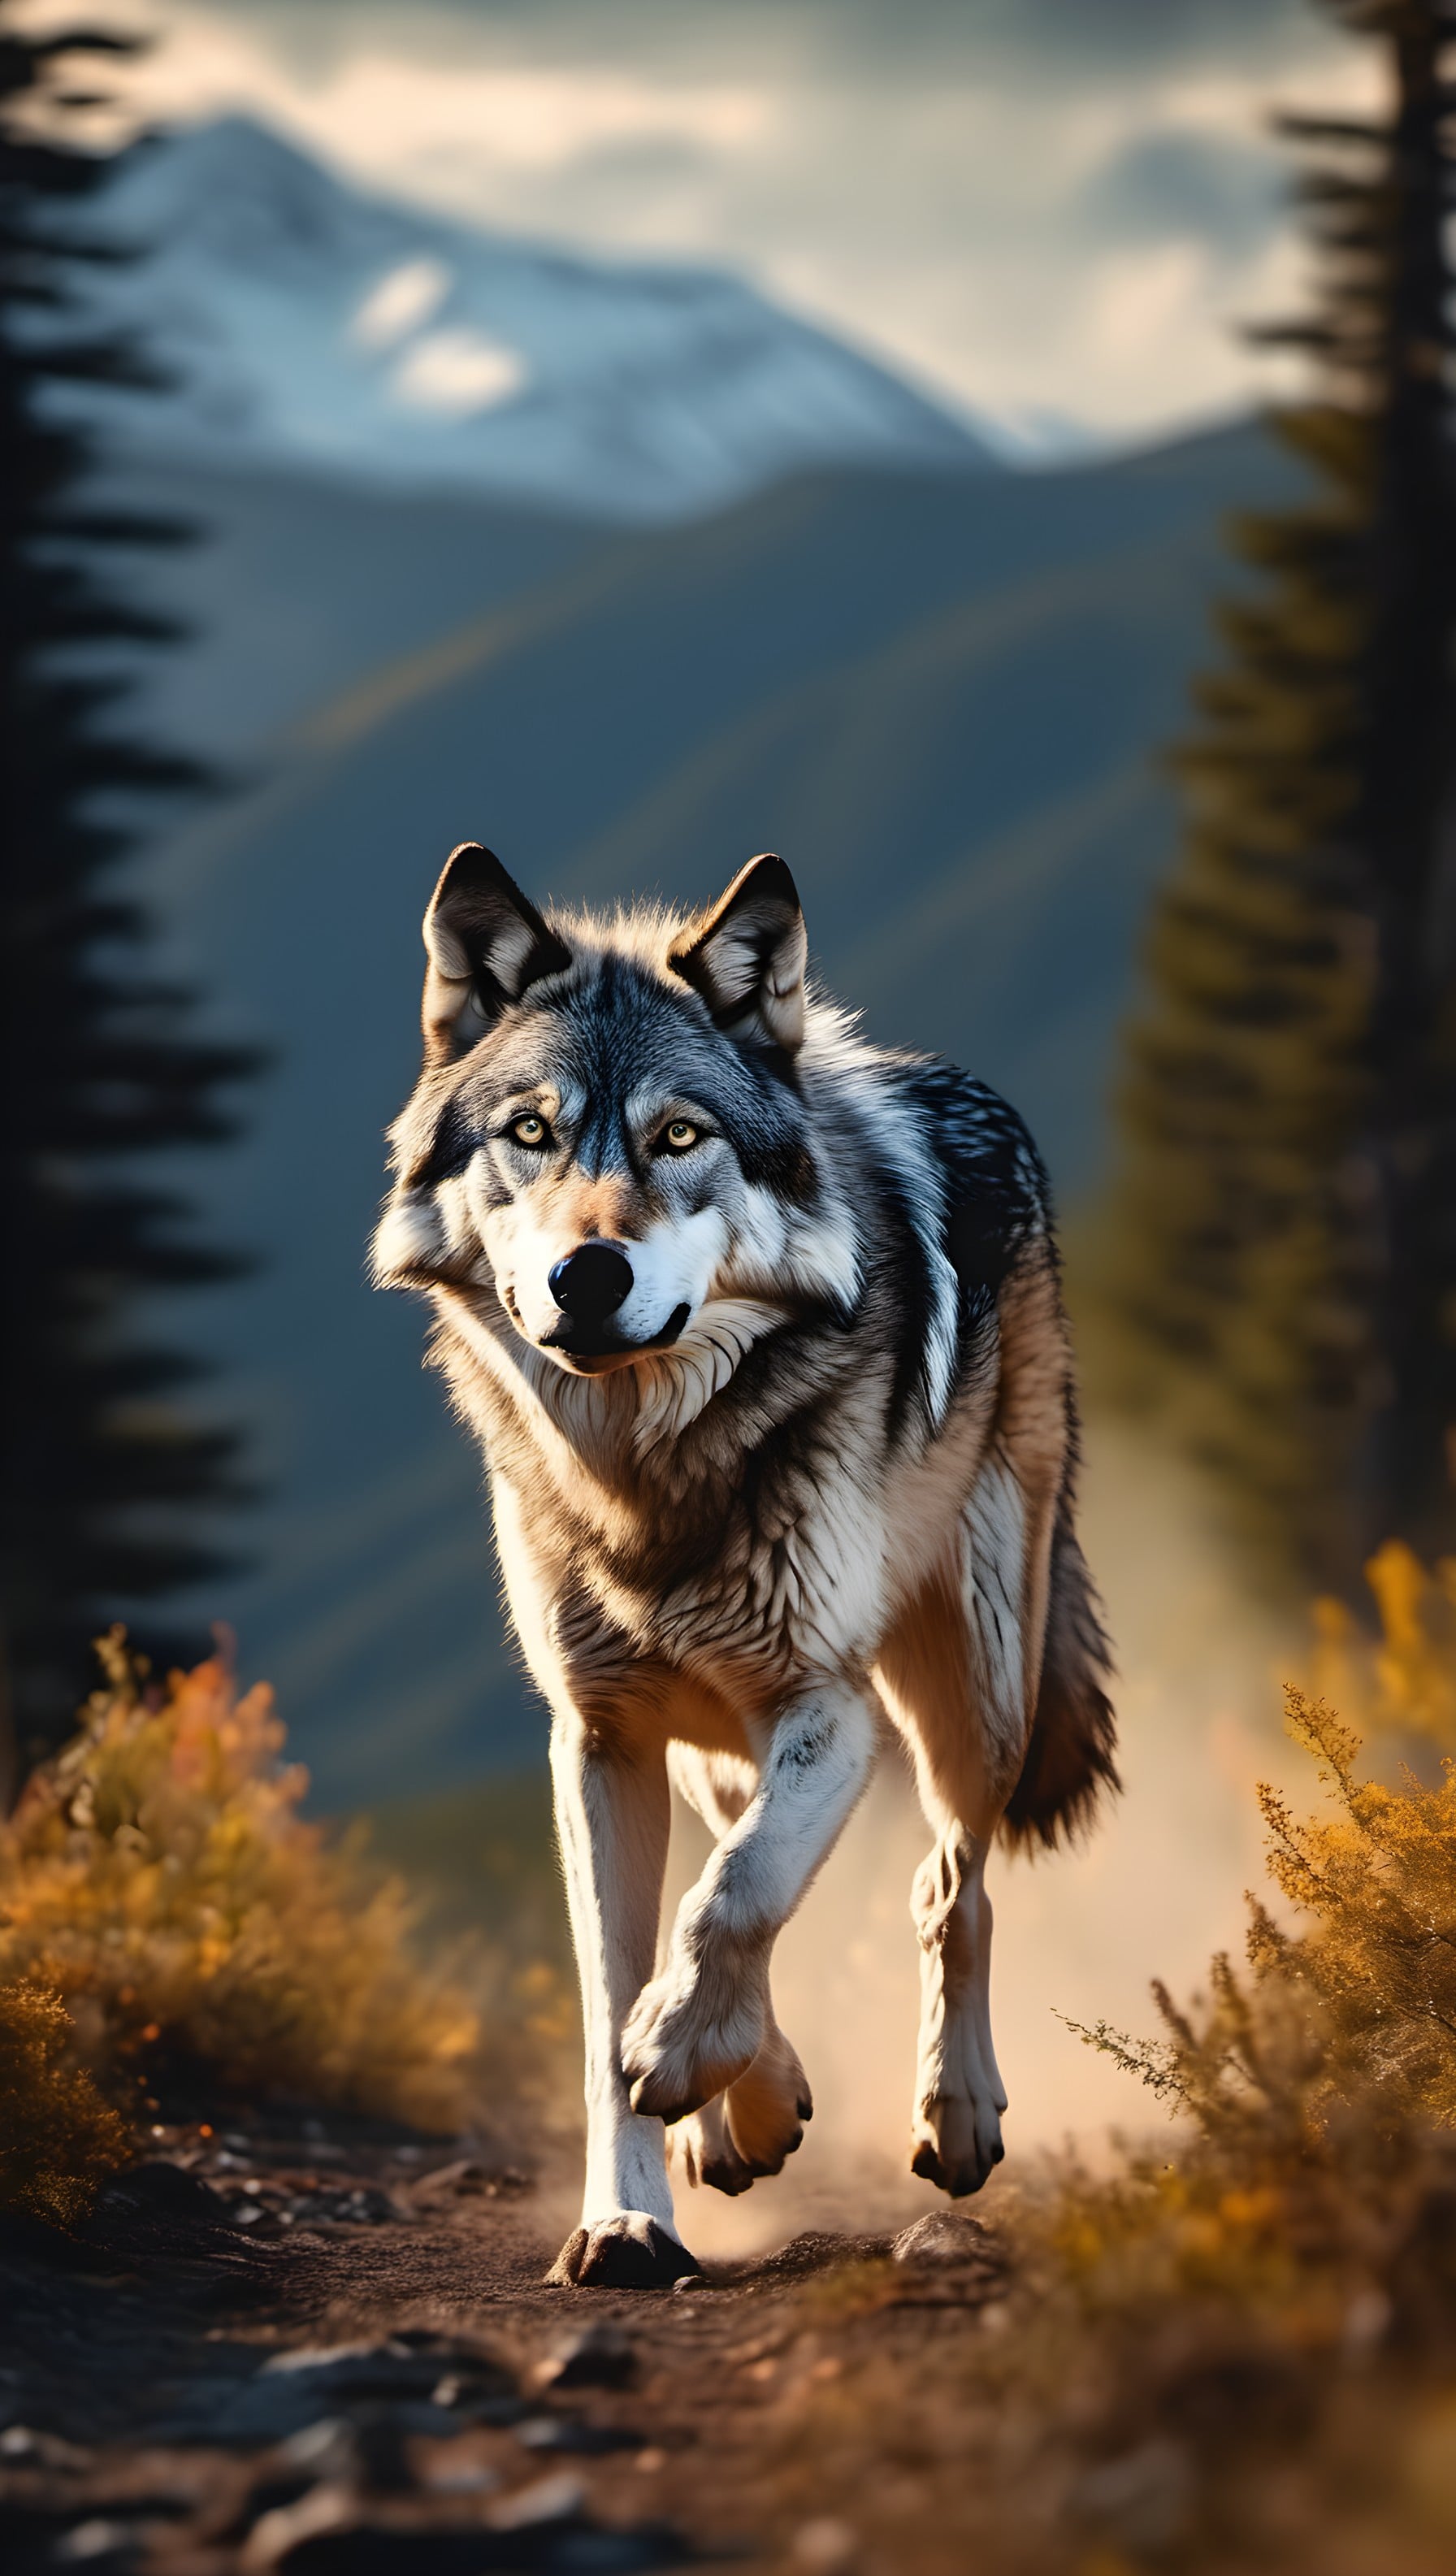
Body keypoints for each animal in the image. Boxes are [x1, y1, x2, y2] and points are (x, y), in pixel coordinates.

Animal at [374, 842, 1116, 2287]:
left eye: (679, 1136)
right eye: (531, 1133)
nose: (587, 1273)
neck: (643, 1481)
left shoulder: (825, 1703)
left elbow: (732, 1902)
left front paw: (682, 2055)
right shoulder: (599, 1738)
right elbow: (632, 1970)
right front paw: (633, 2207)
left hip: (968, 1684)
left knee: (949, 1881)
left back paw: (955, 2114)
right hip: (727, 1736)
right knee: (761, 1851)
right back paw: (746, 2108)